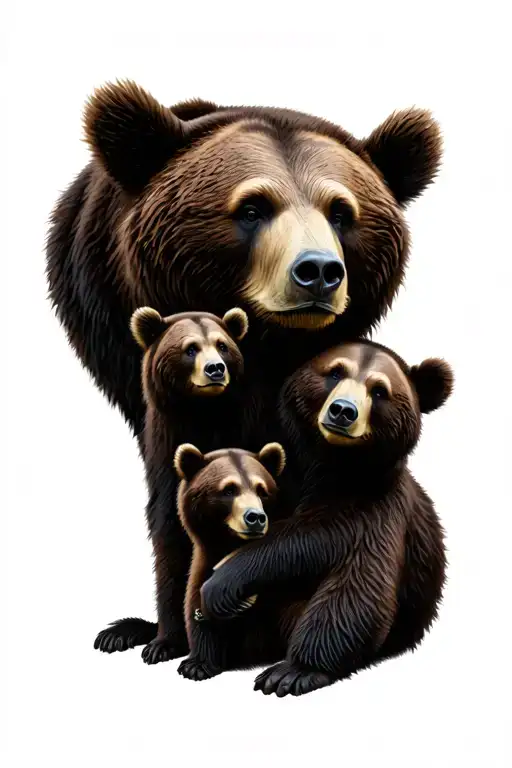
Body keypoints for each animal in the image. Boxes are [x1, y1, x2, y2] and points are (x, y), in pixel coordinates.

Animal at [94, 306, 254, 665]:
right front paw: (164, 643)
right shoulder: (165, 465)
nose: (215, 369)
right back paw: (119, 634)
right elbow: (170, 542)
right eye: (190, 348)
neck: (200, 417)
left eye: (222, 345)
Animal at [174, 442, 288, 681]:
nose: (255, 517)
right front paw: (197, 664)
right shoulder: (204, 565)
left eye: (261, 490)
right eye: (228, 489)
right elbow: (198, 609)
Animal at [201, 340, 454, 697]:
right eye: (335, 372)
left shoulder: (374, 507)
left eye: (379, 390)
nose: (343, 411)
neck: (327, 462)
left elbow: (355, 584)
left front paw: (292, 672)